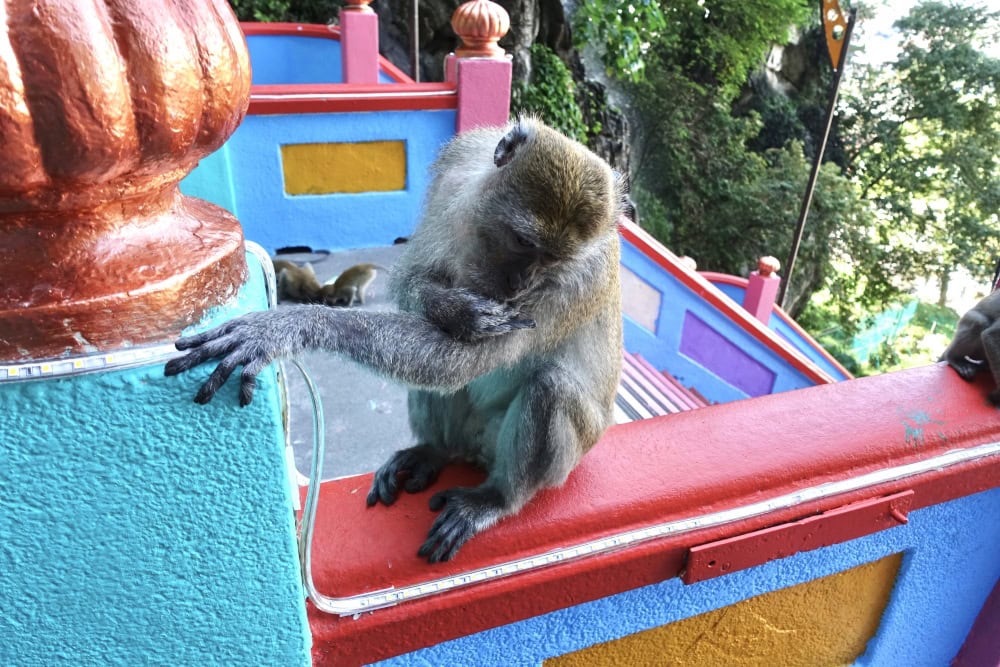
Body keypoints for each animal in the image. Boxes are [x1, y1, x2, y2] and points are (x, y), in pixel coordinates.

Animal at [164, 117, 623, 563]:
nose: (522, 283)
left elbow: (460, 361)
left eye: (553, 261)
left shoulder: (573, 284)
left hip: (552, 457)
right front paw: (453, 308)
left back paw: (497, 498)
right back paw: (435, 451)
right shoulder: (455, 171)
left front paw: (291, 326)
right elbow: (415, 279)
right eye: (524, 242)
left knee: (550, 387)